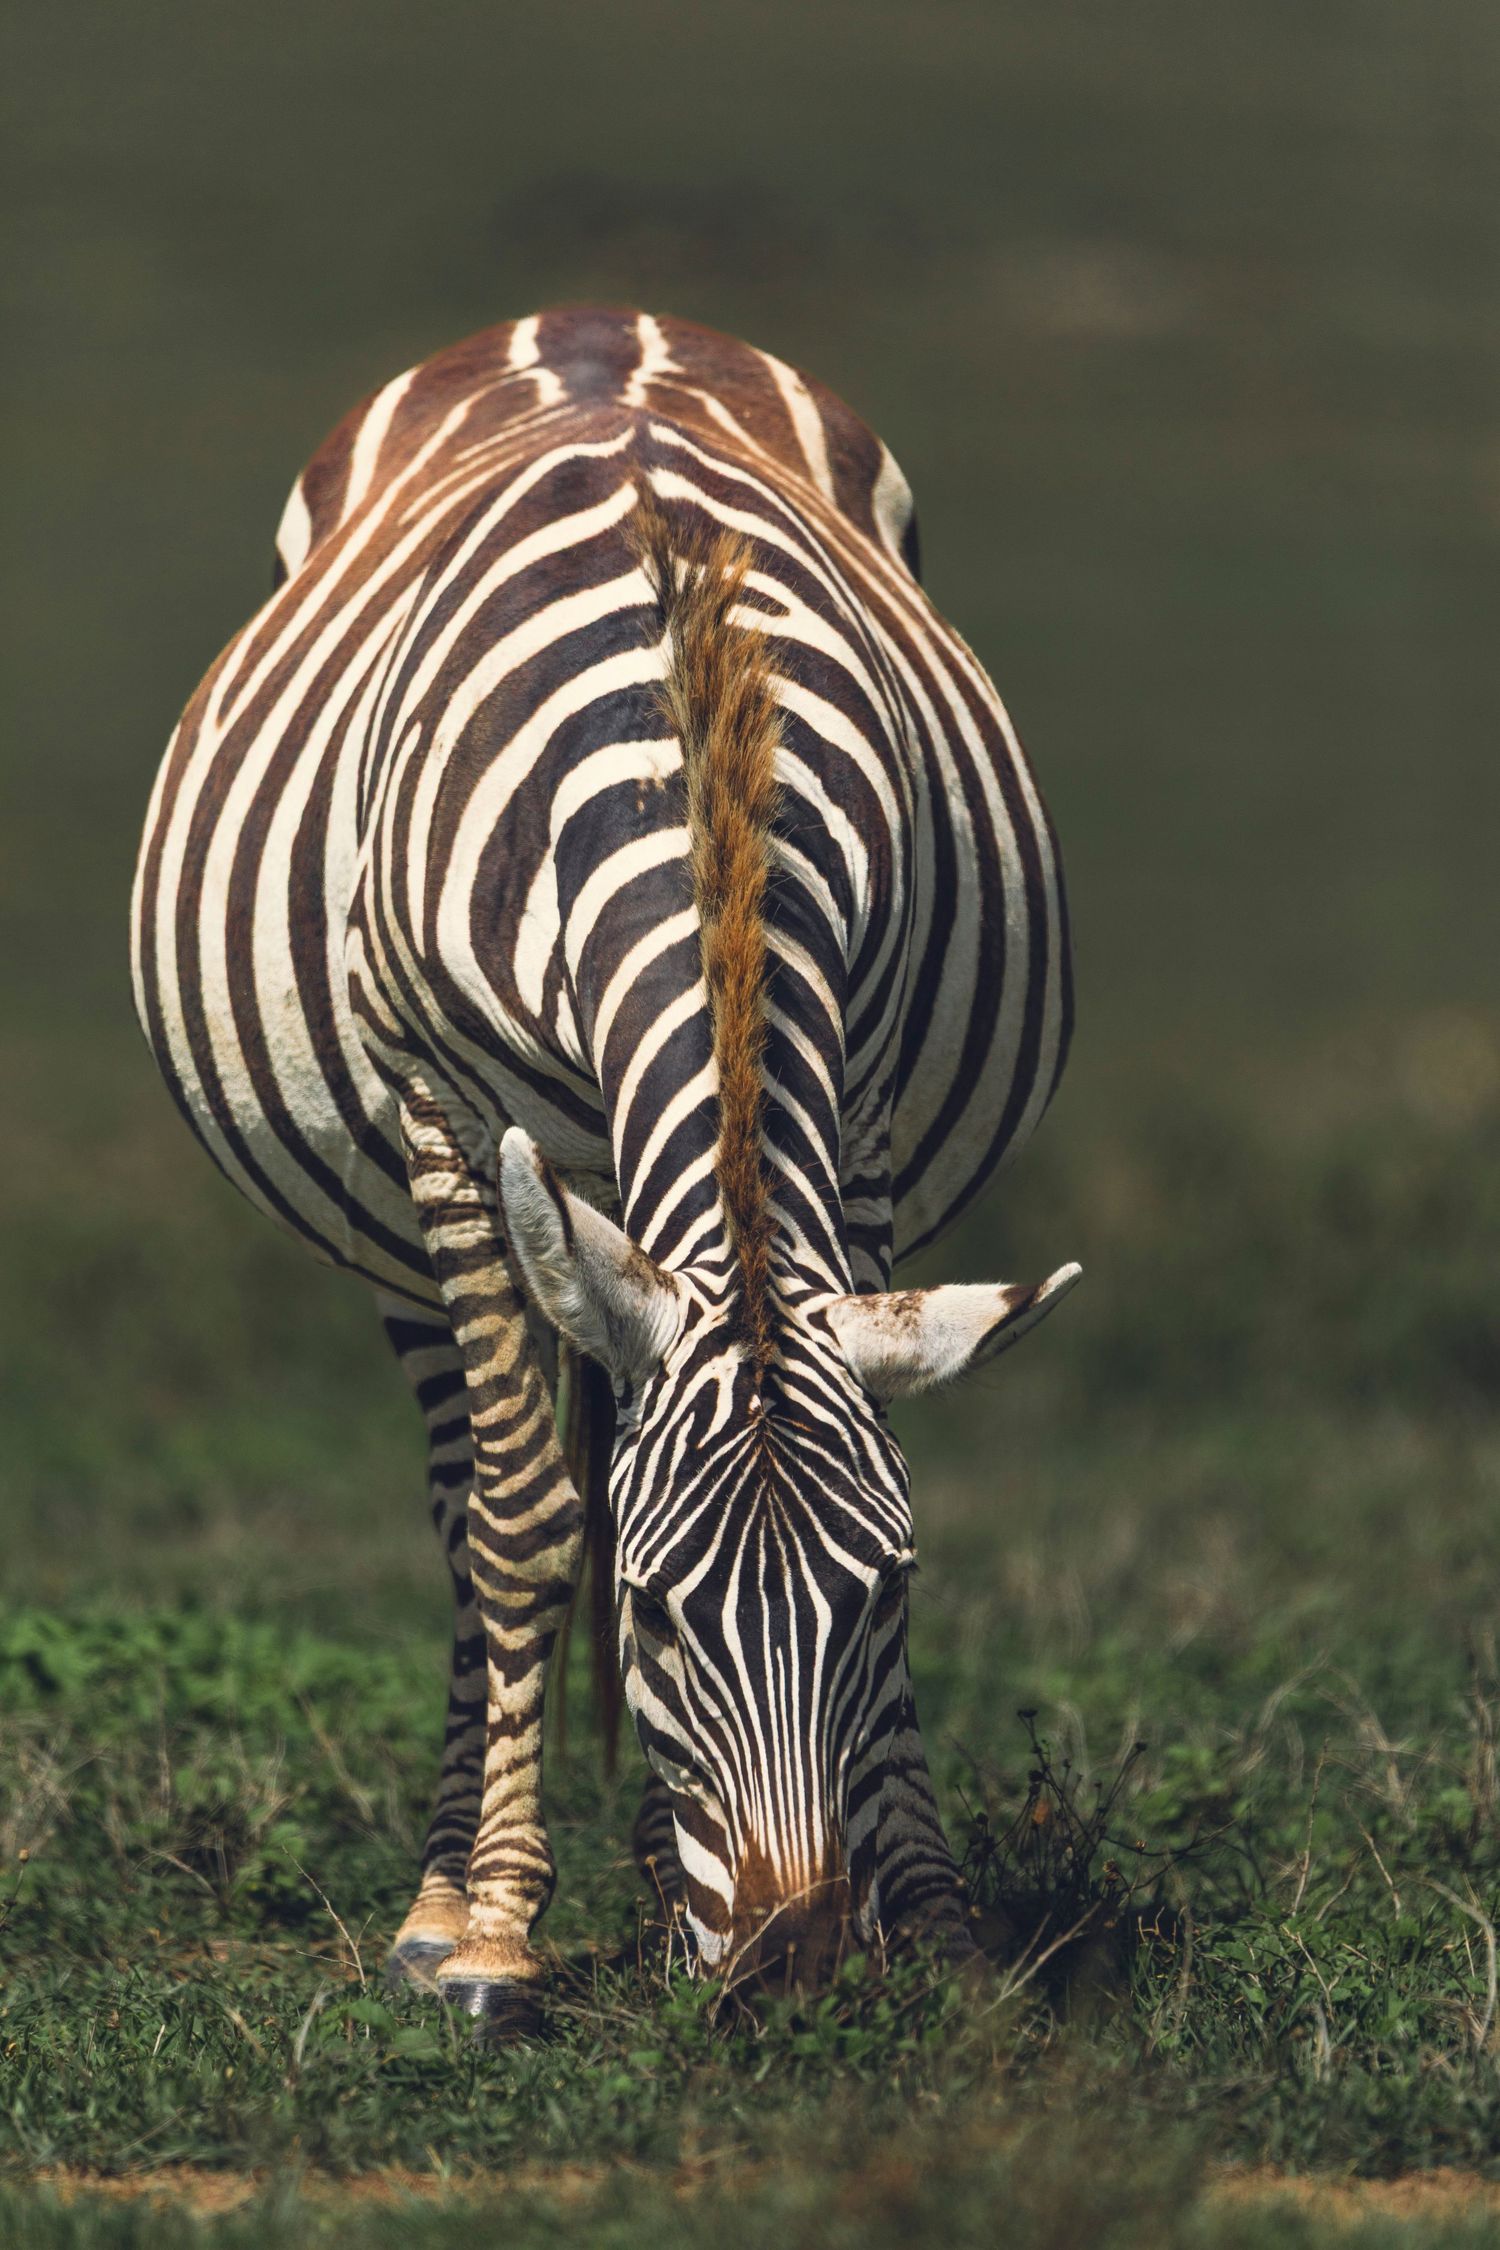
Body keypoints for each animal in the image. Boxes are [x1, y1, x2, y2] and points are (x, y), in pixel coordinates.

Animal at [131, 306, 1077, 2031]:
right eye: (649, 1611)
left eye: (887, 1594)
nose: (793, 1970)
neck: (684, 739)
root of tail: (590, 320)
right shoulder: (448, 1109)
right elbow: (524, 1519)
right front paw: (491, 1931)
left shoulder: (862, 1111)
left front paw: (928, 1909)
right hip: (411, 1218)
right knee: (474, 1497)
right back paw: (455, 1891)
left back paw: (653, 1875)